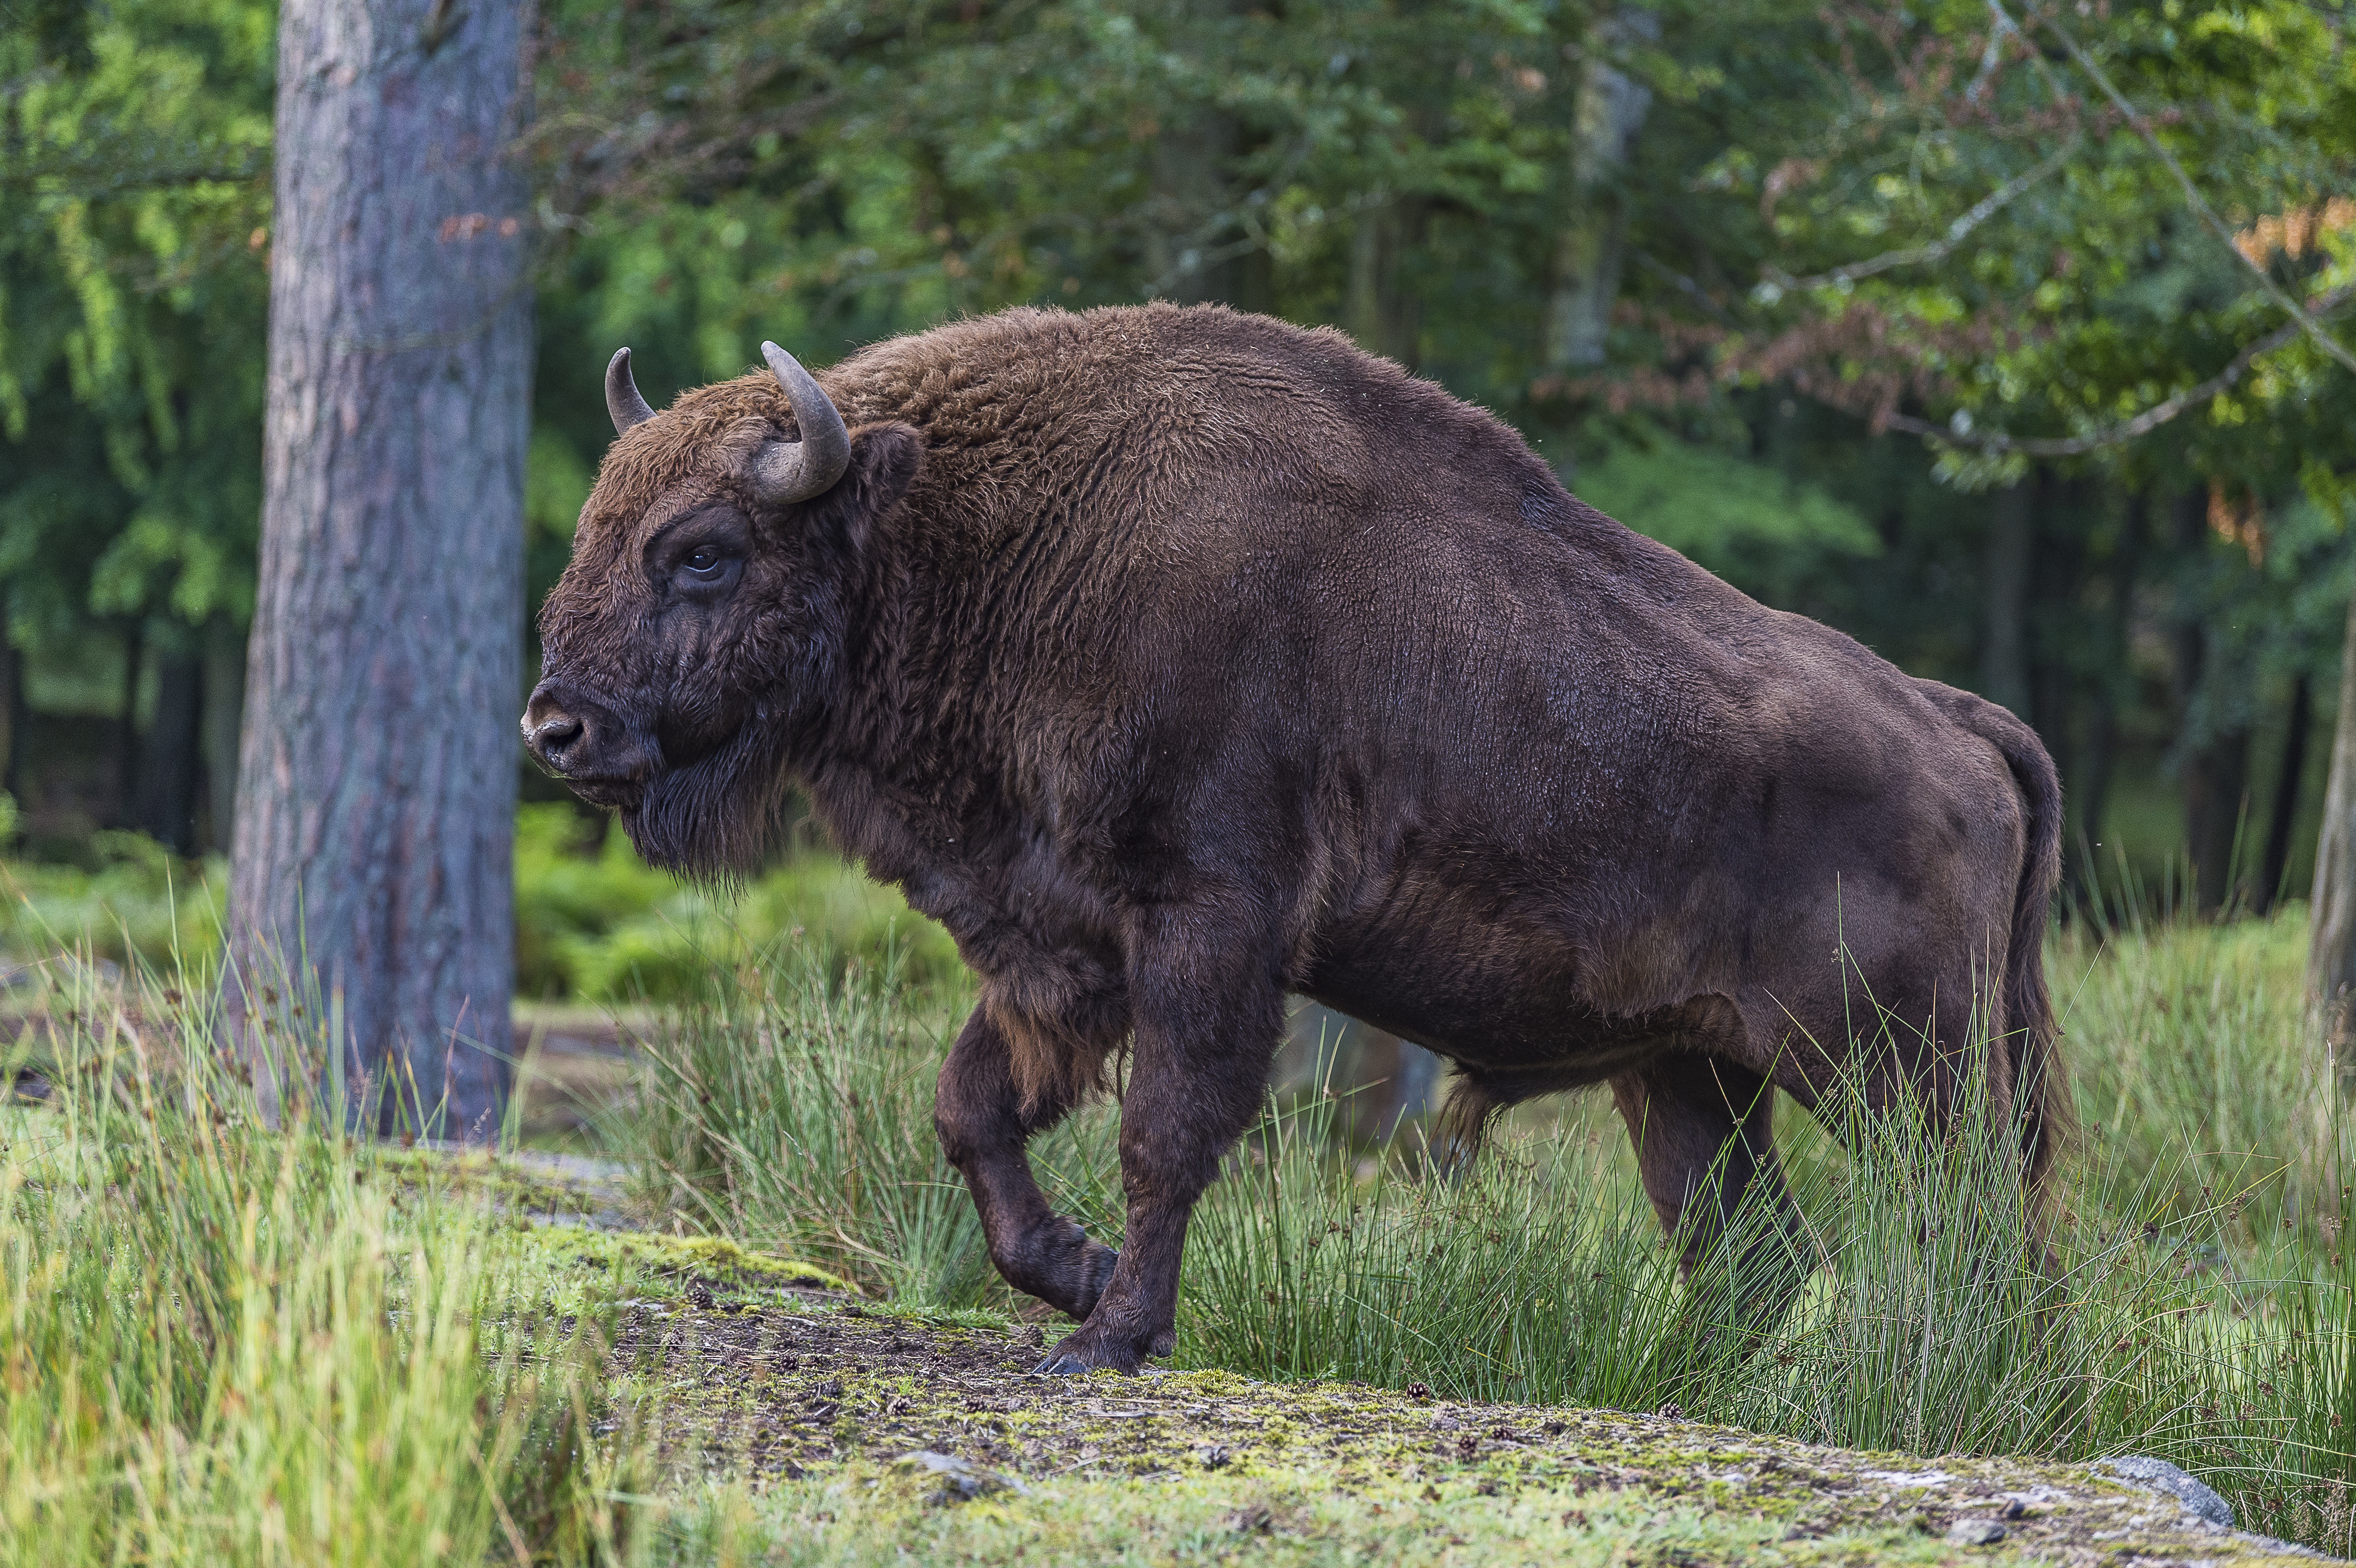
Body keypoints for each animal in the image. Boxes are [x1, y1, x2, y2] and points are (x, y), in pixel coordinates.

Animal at [526, 304, 2069, 1374]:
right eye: (597, 520)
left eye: (703, 548)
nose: (557, 728)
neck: (978, 532)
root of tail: (1949, 722)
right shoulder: (1058, 941)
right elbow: (972, 1107)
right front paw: (1073, 1276)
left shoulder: (1205, 926)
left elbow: (1165, 1131)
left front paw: (1108, 1335)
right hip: (1688, 1072)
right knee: (1748, 1250)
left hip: (1897, 1068)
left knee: (1969, 1228)